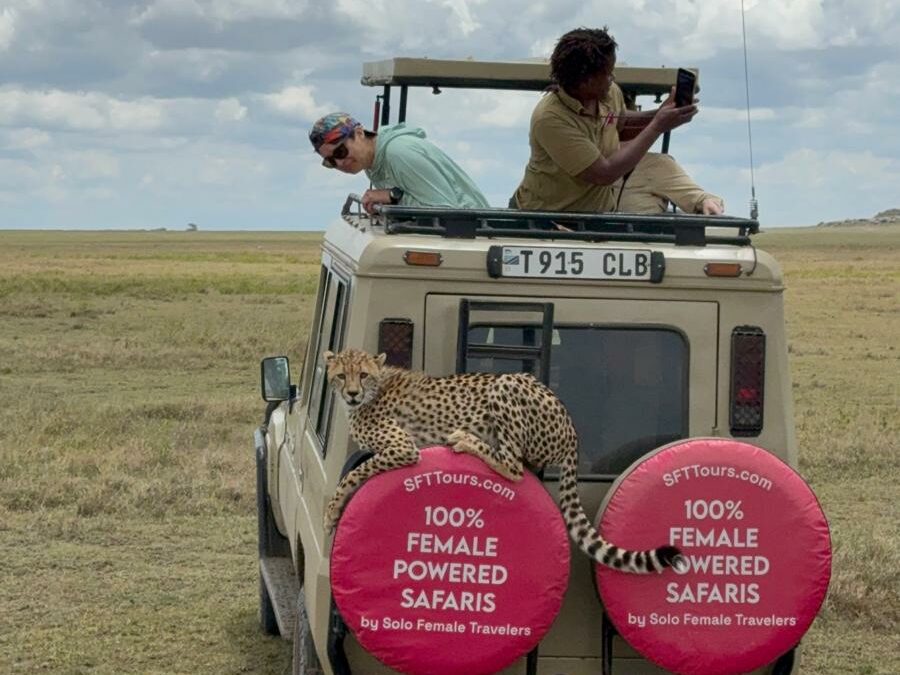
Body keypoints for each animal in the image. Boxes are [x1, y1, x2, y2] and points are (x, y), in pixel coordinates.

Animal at [322, 348, 684, 574]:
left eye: (363, 375)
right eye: (340, 376)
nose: (351, 394)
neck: (375, 390)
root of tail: (572, 431)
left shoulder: (404, 448)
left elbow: (353, 475)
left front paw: (331, 514)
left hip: (506, 383)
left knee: (514, 466)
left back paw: (467, 440)